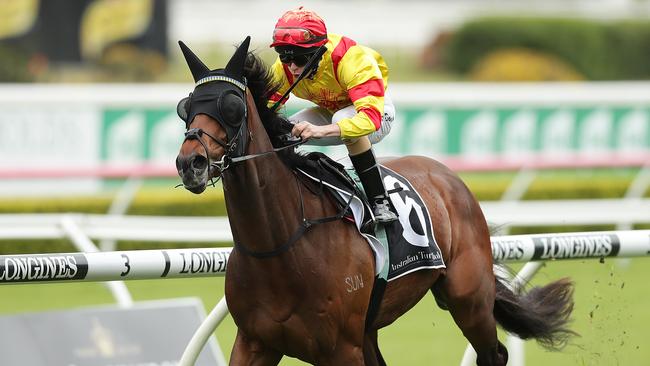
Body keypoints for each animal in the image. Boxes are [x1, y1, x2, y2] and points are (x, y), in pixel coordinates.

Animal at [173, 38, 572, 366]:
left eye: (232, 106)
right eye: (186, 106)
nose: (190, 163)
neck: (280, 246)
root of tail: (448, 175)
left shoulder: (340, 349)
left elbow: (364, 116)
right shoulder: (255, 342)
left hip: (468, 299)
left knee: (493, 354)